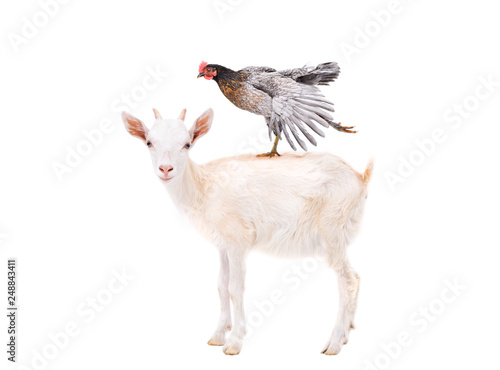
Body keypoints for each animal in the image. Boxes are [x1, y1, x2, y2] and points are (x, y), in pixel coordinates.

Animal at [120, 107, 372, 356]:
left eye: (187, 144)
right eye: (149, 142)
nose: (165, 169)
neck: (204, 188)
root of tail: (360, 178)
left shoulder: (238, 239)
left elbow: (236, 287)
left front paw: (234, 343)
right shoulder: (222, 245)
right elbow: (221, 285)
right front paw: (217, 336)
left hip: (332, 229)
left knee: (348, 280)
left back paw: (334, 344)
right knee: (355, 277)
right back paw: (347, 334)